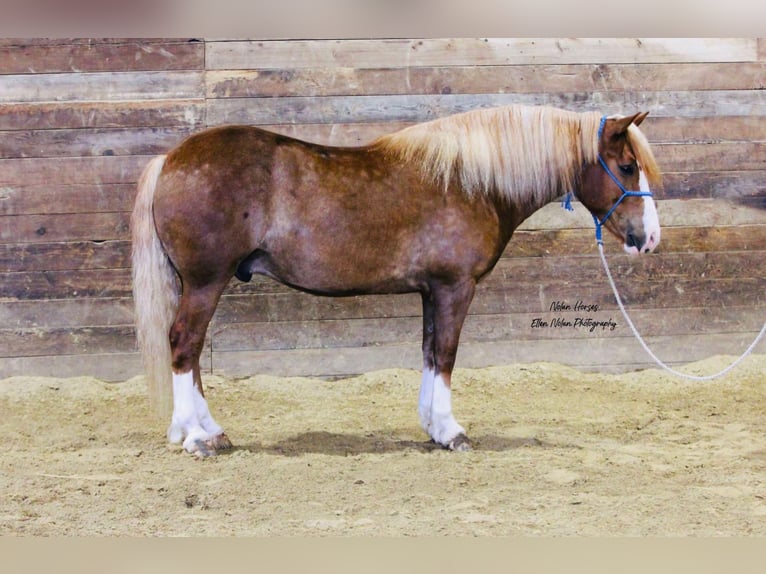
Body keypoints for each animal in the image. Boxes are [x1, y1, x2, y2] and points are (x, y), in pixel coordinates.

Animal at [129, 103, 664, 456]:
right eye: (626, 166)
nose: (650, 238)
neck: (470, 181)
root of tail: (169, 159)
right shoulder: (455, 287)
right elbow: (446, 355)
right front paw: (452, 432)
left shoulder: (431, 290)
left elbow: (429, 353)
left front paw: (433, 428)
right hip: (206, 281)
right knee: (184, 344)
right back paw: (197, 438)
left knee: (190, 352)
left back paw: (209, 431)